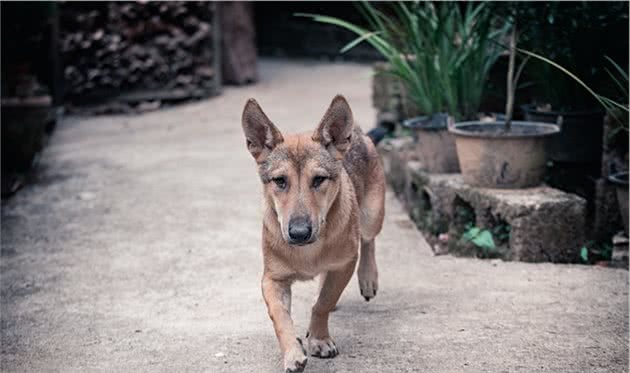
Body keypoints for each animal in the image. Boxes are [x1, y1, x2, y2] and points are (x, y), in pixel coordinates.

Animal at [244, 94, 388, 370]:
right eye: (280, 181)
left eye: (319, 179)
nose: (299, 232)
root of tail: (357, 132)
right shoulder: (272, 279)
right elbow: (280, 316)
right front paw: (292, 352)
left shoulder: (344, 265)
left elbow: (324, 303)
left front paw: (319, 339)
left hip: (372, 215)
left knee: (368, 240)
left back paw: (368, 278)